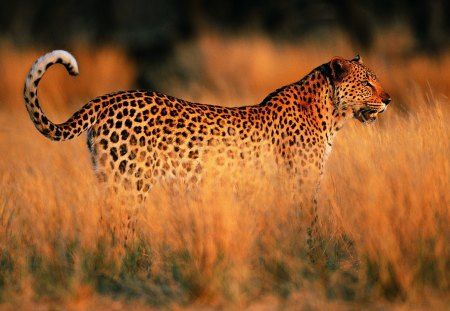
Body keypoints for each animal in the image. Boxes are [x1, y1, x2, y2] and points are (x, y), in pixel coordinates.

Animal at [23, 50, 390, 251]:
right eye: (367, 82)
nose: (388, 99)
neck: (330, 114)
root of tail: (108, 98)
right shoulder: (301, 183)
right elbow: (309, 225)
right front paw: (312, 260)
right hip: (130, 184)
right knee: (118, 229)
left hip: (108, 180)